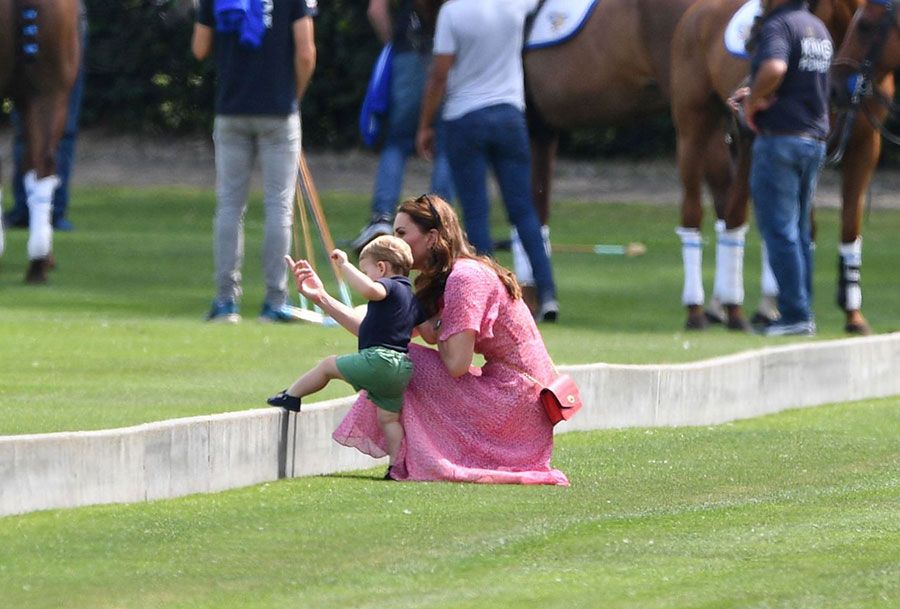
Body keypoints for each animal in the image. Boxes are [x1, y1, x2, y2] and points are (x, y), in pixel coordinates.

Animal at [668, 0, 884, 332]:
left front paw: (853, 315)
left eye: (865, 26)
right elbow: (795, 226)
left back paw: (729, 307)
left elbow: (848, 231)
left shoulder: (864, 148)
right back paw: (700, 309)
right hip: (695, 132)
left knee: (730, 213)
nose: (752, 42)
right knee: (701, 213)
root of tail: (694, 13)